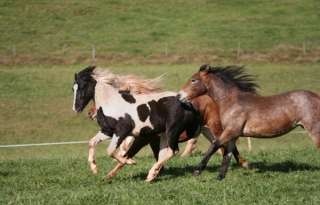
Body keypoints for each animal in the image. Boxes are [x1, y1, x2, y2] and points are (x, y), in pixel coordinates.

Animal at [178, 64, 320, 179]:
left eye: (193, 80)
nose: (179, 96)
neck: (231, 101)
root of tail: (317, 97)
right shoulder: (233, 134)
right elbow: (228, 154)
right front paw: (220, 177)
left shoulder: (231, 131)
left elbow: (214, 145)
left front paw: (197, 171)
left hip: (314, 130)